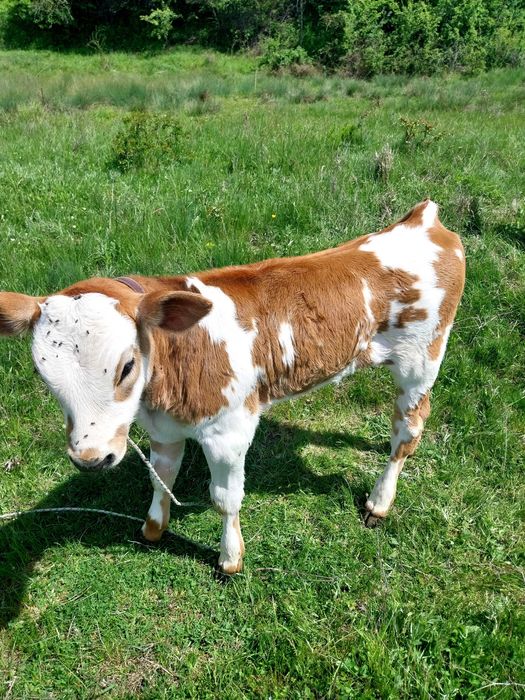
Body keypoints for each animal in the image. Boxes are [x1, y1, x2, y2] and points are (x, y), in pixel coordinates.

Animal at [0, 200, 465, 574]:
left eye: (126, 366)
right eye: (43, 375)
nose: (91, 458)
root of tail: (423, 220)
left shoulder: (229, 431)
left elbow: (225, 498)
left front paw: (230, 558)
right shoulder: (163, 429)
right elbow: (160, 477)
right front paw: (153, 528)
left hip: (422, 360)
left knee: (407, 431)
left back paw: (379, 501)